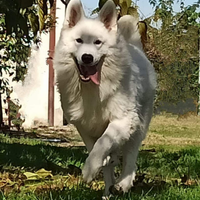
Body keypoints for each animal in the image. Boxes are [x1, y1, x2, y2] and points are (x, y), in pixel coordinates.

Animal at [54, 0, 157, 197]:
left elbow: (103, 143)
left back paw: (124, 183)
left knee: (131, 158)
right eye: (79, 41)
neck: (93, 87)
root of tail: (134, 47)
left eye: (98, 42)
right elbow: (96, 148)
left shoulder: (123, 120)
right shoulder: (84, 126)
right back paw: (107, 191)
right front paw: (101, 164)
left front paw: (89, 169)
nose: (87, 57)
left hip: (139, 125)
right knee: (111, 168)